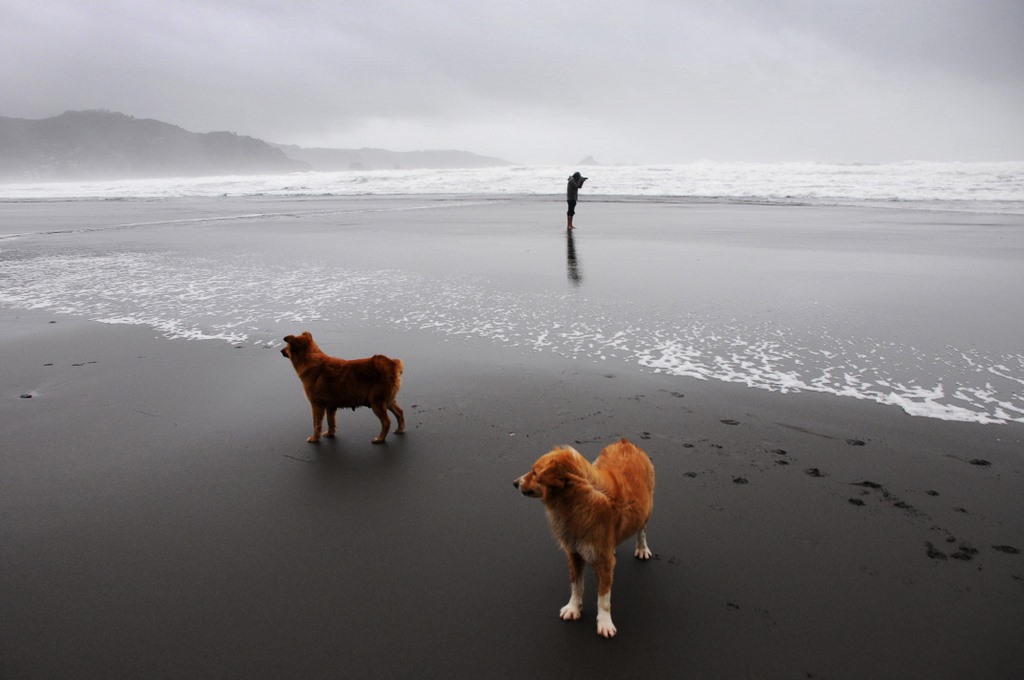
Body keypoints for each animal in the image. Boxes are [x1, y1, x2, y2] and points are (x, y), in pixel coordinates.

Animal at [512, 438, 655, 639]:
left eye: (535, 472)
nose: (515, 482)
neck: (575, 500)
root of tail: (624, 443)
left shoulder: (604, 562)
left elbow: (603, 598)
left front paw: (605, 622)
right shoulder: (574, 553)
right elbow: (576, 585)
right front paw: (573, 608)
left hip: (646, 509)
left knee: (642, 529)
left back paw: (642, 548)